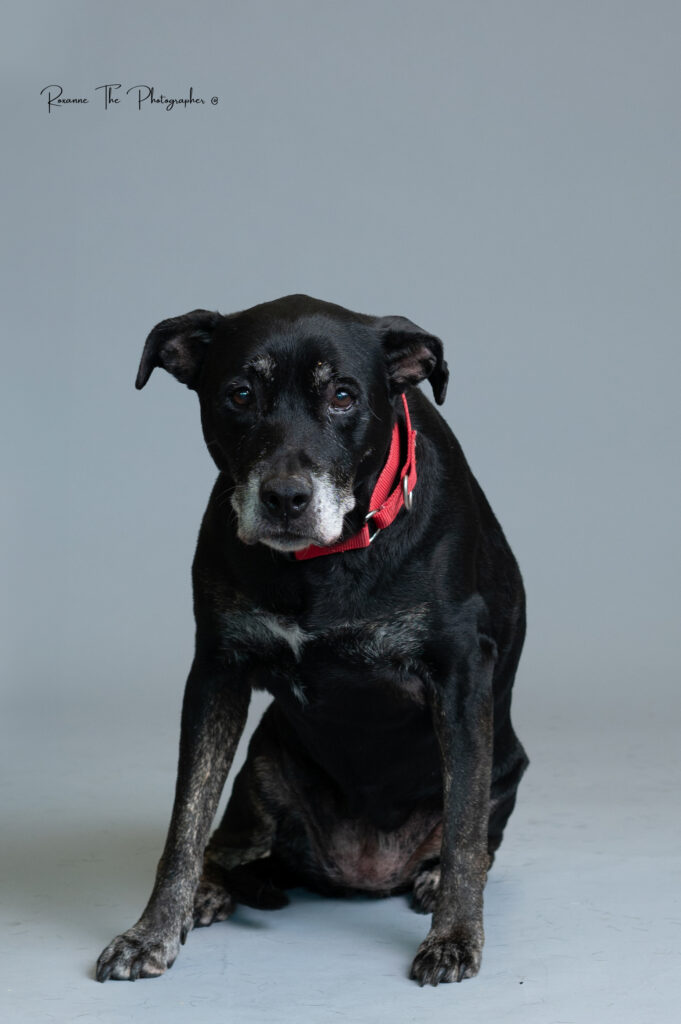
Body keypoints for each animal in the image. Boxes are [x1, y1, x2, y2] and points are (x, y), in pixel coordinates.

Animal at [96, 294, 524, 983]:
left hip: (507, 767)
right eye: (240, 393)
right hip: (262, 771)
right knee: (226, 842)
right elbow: (185, 820)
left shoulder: (460, 677)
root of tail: (364, 873)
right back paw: (212, 887)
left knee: (475, 835)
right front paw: (152, 931)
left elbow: (462, 828)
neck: (323, 561)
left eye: (344, 396)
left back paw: (433, 878)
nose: (285, 498)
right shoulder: (215, 673)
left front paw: (455, 935)